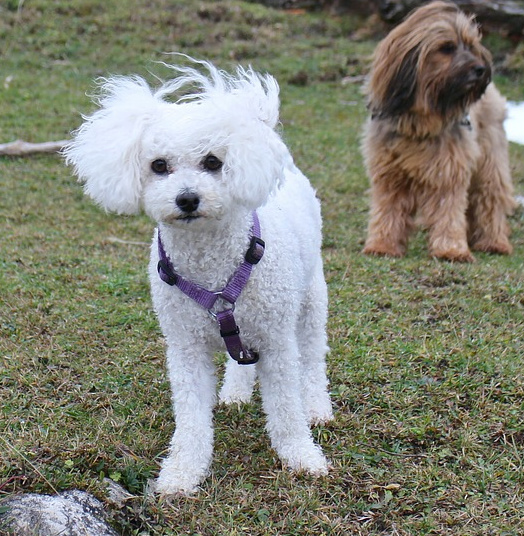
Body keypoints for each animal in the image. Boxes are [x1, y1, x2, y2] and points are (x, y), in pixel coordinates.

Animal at [62, 58, 332, 494]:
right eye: (158, 166)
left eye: (213, 162)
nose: (187, 198)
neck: (212, 268)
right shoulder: (185, 346)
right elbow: (190, 415)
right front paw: (183, 472)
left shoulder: (277, 341)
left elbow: (286, 408)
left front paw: (300, 456)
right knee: (243, 359)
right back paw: (236, 392)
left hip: (310, 297)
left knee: (311, 354)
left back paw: (318, 406)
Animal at [362, 0, 512, 262]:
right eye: (446, 48)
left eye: (470, 46)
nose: (481, 69)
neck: (421, 121)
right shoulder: (389, 174)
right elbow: (388, 210)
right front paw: (382, 245)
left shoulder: (450, 171)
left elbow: (448, 211)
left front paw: (452, 249)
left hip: (491, 161)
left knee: (490, 198)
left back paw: (494, 242)